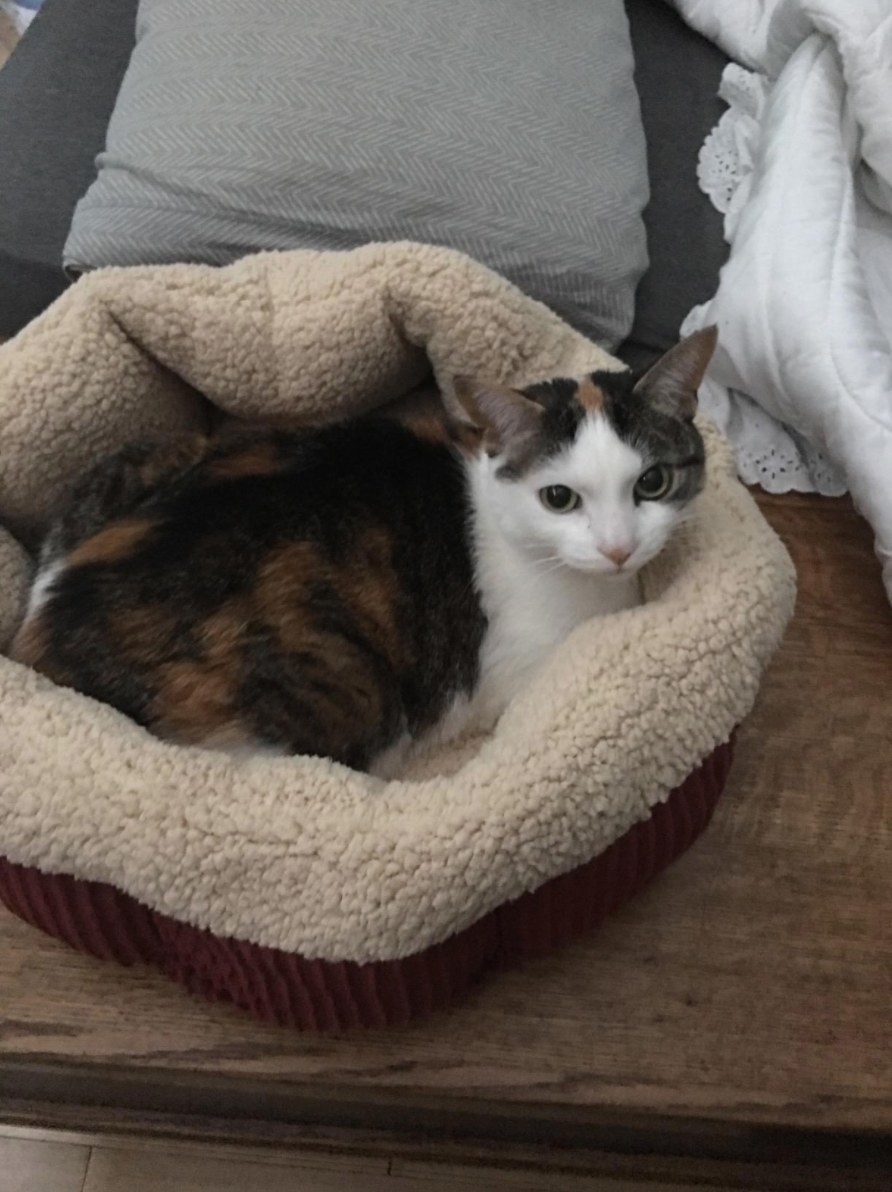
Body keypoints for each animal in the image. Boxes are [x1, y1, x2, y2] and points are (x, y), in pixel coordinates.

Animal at [8, 328, 715, 772]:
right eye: (560, 498)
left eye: (651, 483)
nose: (619, 548)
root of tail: (42, 628)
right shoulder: (516, 672)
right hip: (329, 694)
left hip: (145, 456)